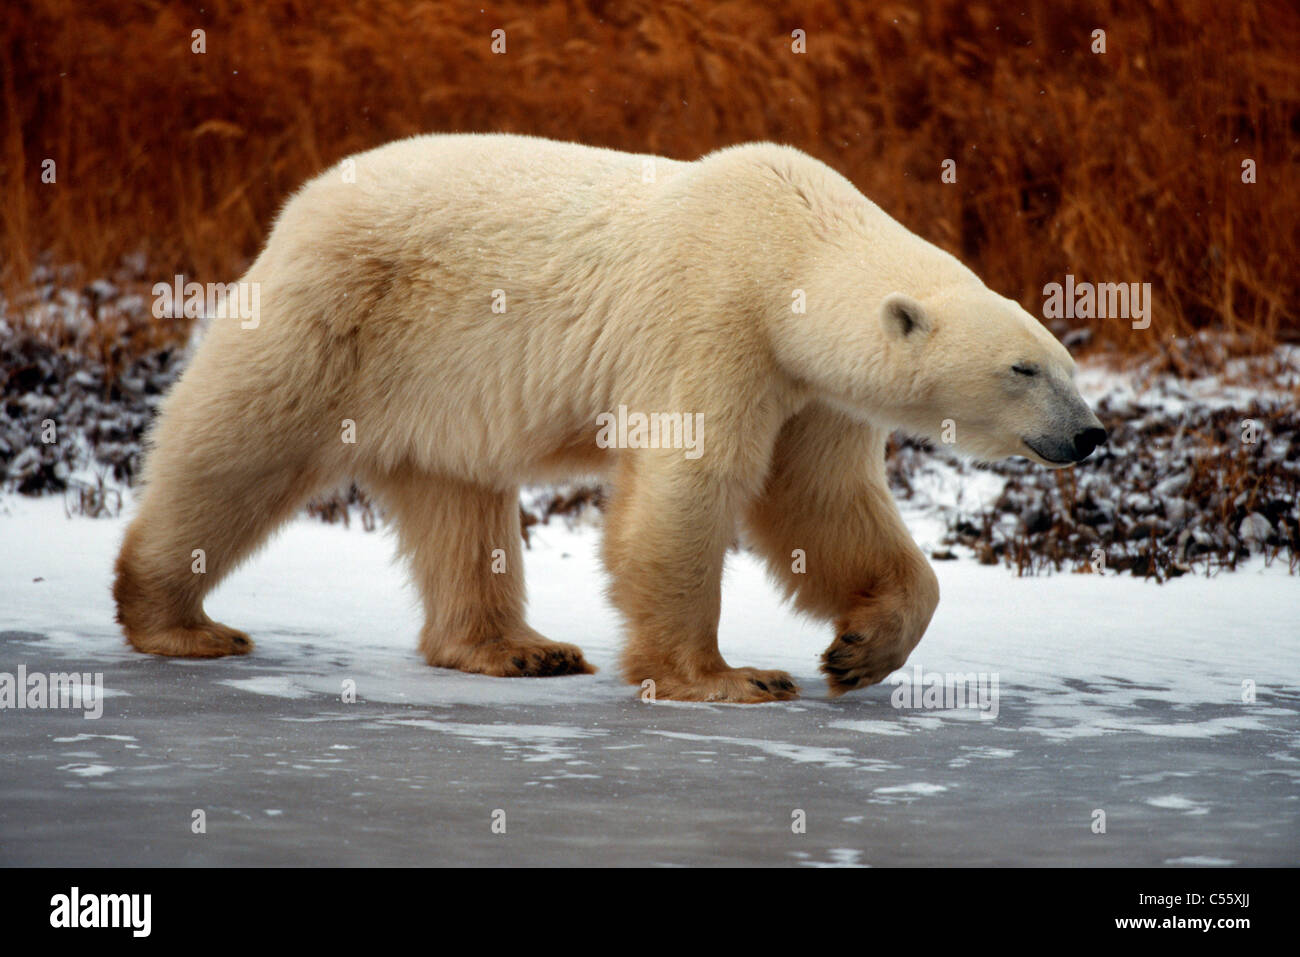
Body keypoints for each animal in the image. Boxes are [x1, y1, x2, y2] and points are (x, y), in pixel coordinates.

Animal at [116, 132, 1102, 702]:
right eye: (1022, 368)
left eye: (1067, 362)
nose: (1091, 433)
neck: (788, 245)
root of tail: (300, 201)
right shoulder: (715, 319)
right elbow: (690, 486)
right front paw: (729, 676)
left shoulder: (809, 390)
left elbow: (820, 504)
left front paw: (860, 649)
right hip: (340, 316)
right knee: (237, 445)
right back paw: (178, 619)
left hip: (436, 385)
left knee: (459, 503)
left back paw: (517, 649)